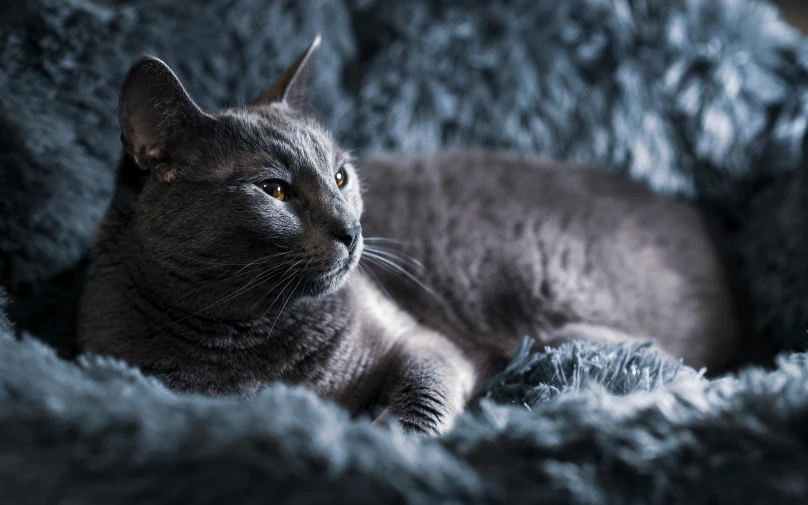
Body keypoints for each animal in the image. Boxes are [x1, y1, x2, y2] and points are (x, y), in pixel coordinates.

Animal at [79, 38, 756, 434]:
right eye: (273, 191)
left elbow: (425, 392)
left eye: (341, 175)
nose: (351, 229)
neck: (251, 341)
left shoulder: (423, 342)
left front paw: (393, 439)